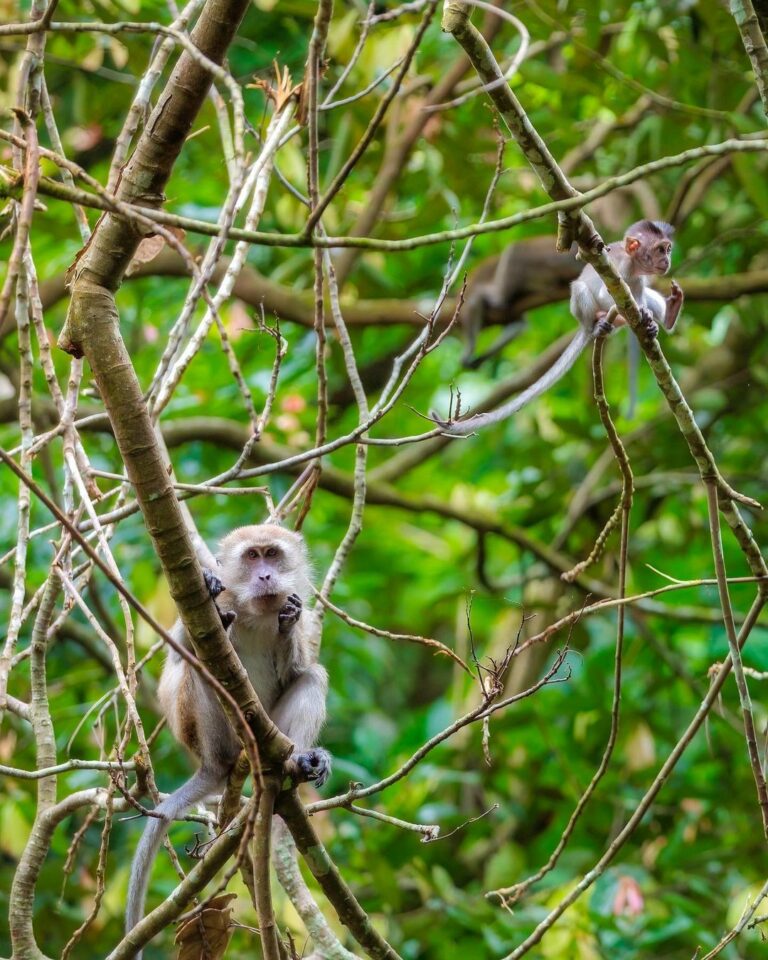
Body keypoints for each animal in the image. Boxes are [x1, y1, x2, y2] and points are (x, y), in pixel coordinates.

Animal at [126, 524, 330, 952]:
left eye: (272, 554)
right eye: (252, 556)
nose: (265, 575)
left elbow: (298, 669)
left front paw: (288, 623)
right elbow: (179, 656)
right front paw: (209, 584)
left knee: (312, 676)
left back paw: (295, 762)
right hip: (209, 735)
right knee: (200, 668)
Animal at [440, 219, 680, 434]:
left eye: (668, 249)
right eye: (660, 249)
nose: (667, 259)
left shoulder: (638, 278)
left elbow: (639, 295)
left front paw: (647, 317)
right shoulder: (622, 267)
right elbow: (607, 294)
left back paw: (666, 315)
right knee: (578, 287)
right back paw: (599, 324)